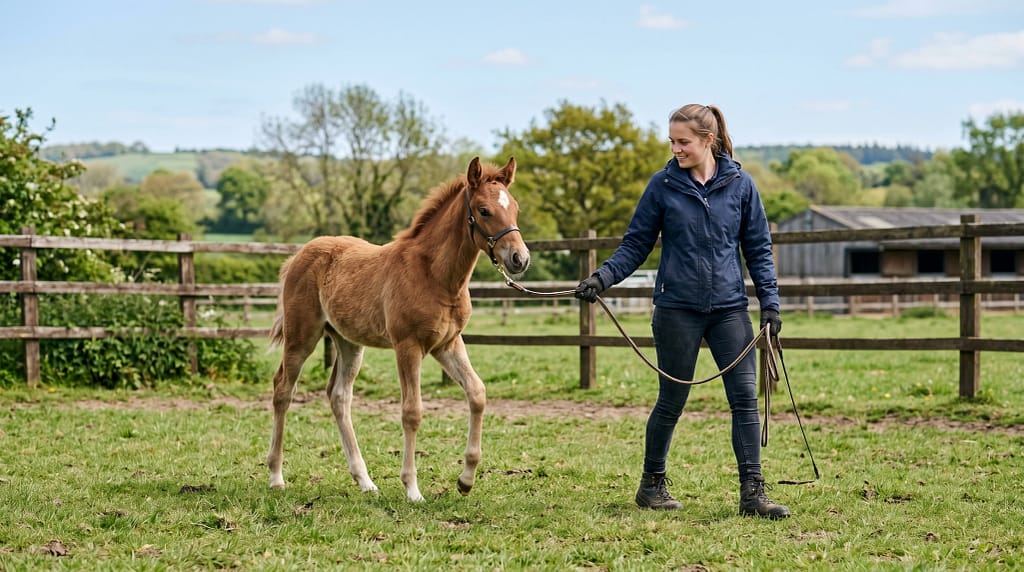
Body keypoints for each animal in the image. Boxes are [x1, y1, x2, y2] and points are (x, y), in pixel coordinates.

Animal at [266, 156, 529, 501]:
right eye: (484, 210)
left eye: (515, 208)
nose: (520, 258)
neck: (435, 275)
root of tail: (298, 255)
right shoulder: (408, 346)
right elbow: (412, 412)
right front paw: (412, 489)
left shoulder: (448, 344)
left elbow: (477, 393)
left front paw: (466, 479)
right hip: (301, 336)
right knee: (283, 389)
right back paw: (276, 476)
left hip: (349, 343)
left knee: (339, 397)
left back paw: (365, 481)